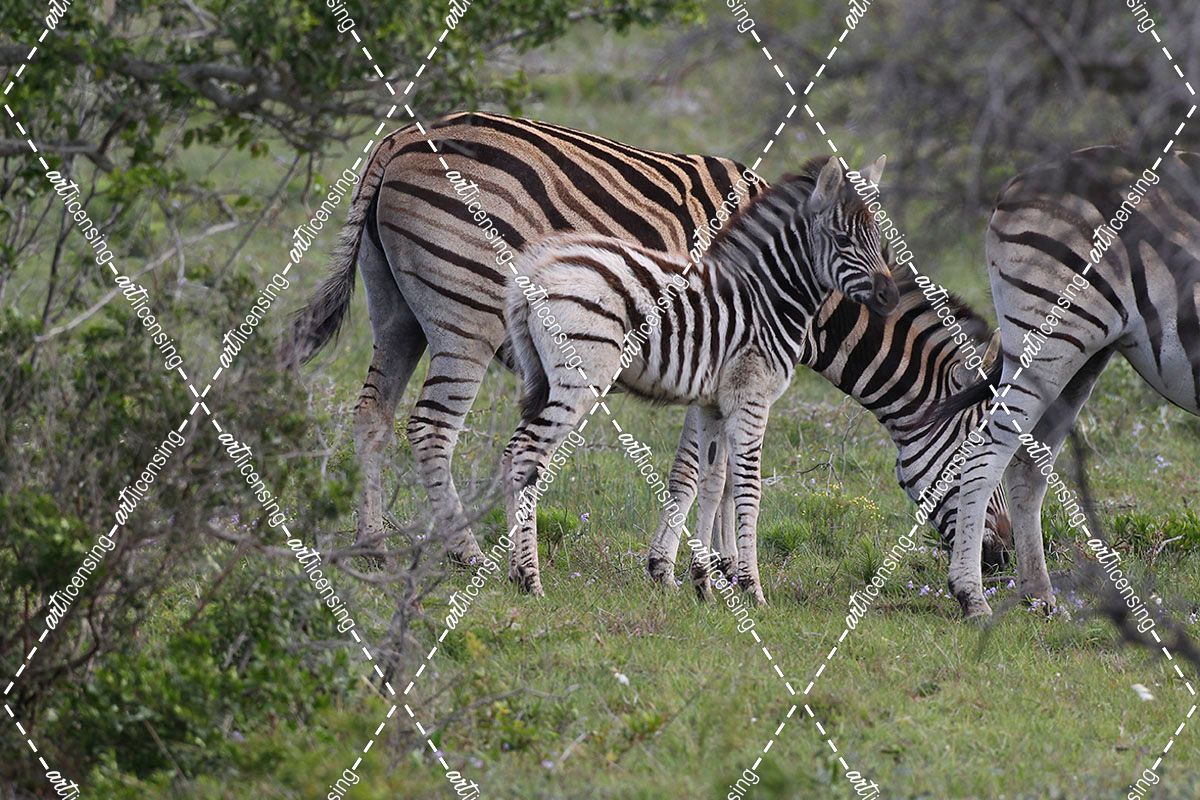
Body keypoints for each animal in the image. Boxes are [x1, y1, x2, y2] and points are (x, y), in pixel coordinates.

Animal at [284, 112, 766, 565]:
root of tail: (400, 139)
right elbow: (707, 470)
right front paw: (708, 567)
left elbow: (716, 471)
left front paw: (718, 564)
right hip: (470, 317)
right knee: (431, 428)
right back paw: (467, 552)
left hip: (396, 316)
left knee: (372, 415)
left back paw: (372, 544)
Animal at [503, 156, 898, 602]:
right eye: (843, 240)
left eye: (879, 238)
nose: (890, 298)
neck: (768, 299)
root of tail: (535, 272)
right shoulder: (751, 397)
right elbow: (748, 489)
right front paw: (752, 590)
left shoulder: (714, 403)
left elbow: (711, 483)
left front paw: (704, 583)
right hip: (579, 377)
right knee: (528, 454)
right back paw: (532, 580)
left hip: (539, 378)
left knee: (513, 451)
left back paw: (514, 572)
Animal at [648, 271, 1015, 596]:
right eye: (978, 460)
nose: (1005, 555)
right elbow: (698, 469)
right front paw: (669, 570)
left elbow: (716, 471)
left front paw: (721, 564)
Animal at [933, 145, 1200, 618]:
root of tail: (1019, 181)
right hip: (1050, 337)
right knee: (985, 453)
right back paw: (971, 596)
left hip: (1084, 355)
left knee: (1026, 466)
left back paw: (1038, 594)